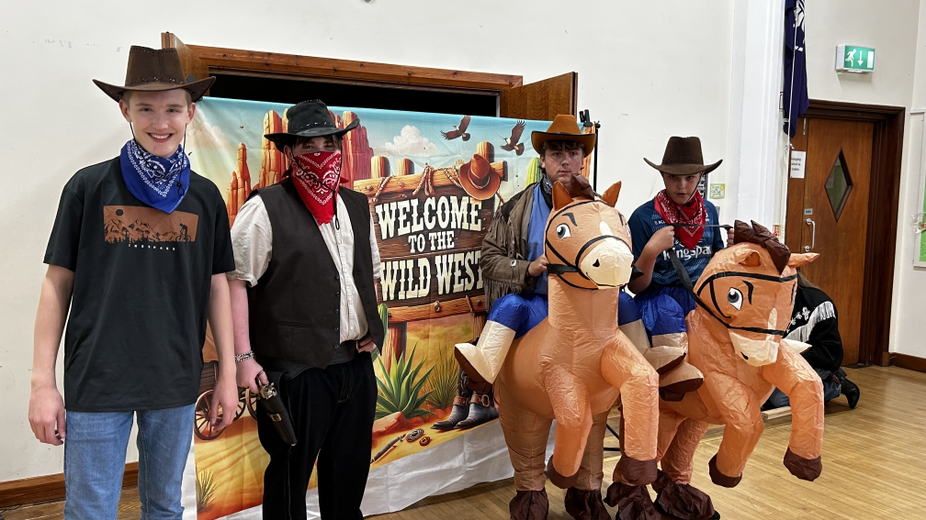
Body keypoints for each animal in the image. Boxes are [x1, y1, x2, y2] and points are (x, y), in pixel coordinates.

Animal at [494, 179, 660, 520]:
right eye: (562, 230)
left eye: (622, 222)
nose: (614, 261)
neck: (584, 339)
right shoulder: (557, 377)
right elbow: (573, 417)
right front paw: (557, 472)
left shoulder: (617, 361)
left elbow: (645, 382)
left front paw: (638, 469)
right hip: (521, 410)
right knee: (526, 449)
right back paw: (530, 503)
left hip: (597, 417)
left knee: (593, 448)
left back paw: (587, 503)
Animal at [609, 221, 823, 520]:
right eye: (734, 296)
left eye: (791, 295)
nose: (760, 355)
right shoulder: (719, 381)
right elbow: (748, 422)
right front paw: (725, 472)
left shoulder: (778, 363)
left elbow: (810, 384)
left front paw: (804, 463)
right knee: (639, 460)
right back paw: (638, 506)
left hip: (688, 419)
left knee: (677, 457)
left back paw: (684, 501)